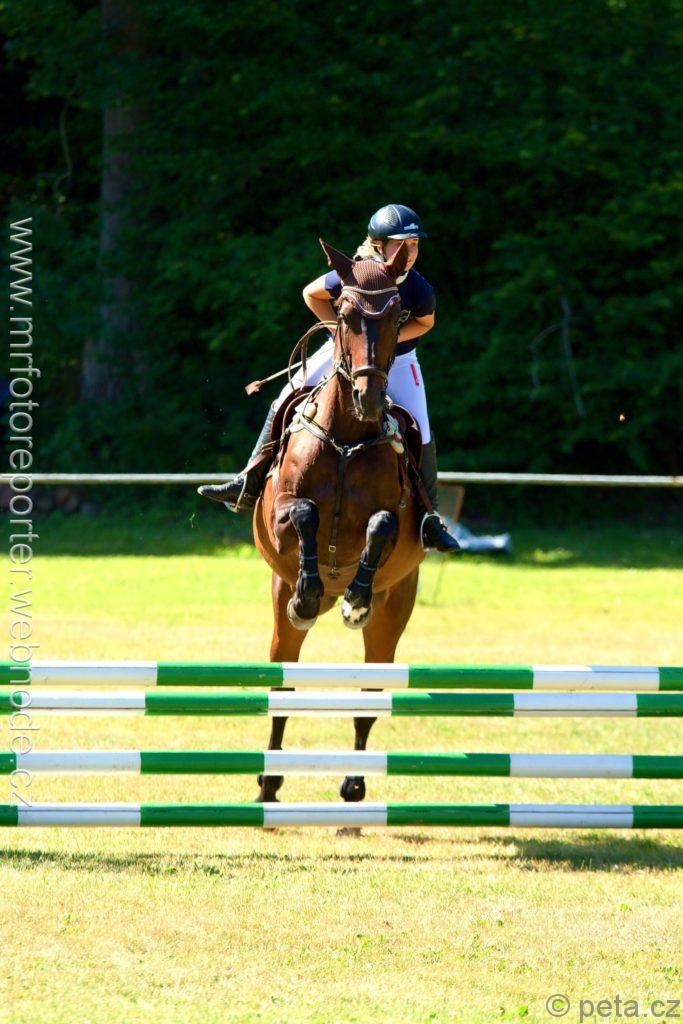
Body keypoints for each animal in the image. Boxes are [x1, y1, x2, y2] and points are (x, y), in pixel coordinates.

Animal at [252, 239, 425, 804]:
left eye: (396, 315)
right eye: (345, 314)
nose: (369, 399)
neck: (348, 434)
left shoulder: (395, 519)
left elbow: (381, 525)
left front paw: (356, 597)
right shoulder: (279, 515)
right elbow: (305, 512)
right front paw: (311, 588)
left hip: (395, 614)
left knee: (371, 692)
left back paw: (353, 785)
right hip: (280, 614)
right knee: (282, 684)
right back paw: (269, 782)